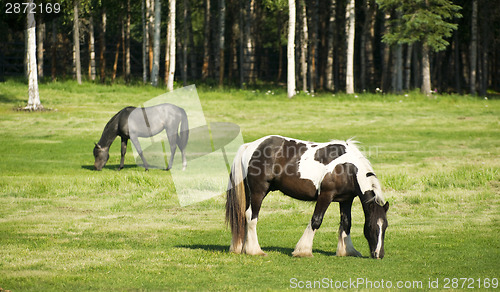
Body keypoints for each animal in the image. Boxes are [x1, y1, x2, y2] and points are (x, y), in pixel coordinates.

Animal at [227, 135, 390, 258]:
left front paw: (347, 251)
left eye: (385, 227)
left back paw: (243, 248)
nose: (379, 254)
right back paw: (255, 250)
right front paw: (303, 251)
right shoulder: (326, 196)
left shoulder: (346, 200)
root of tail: (251, 146)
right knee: (251, 216)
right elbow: (316, 220)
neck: (348, 168)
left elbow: (346, 223)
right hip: (258, 192)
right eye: (372, 226)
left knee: (244, 216)